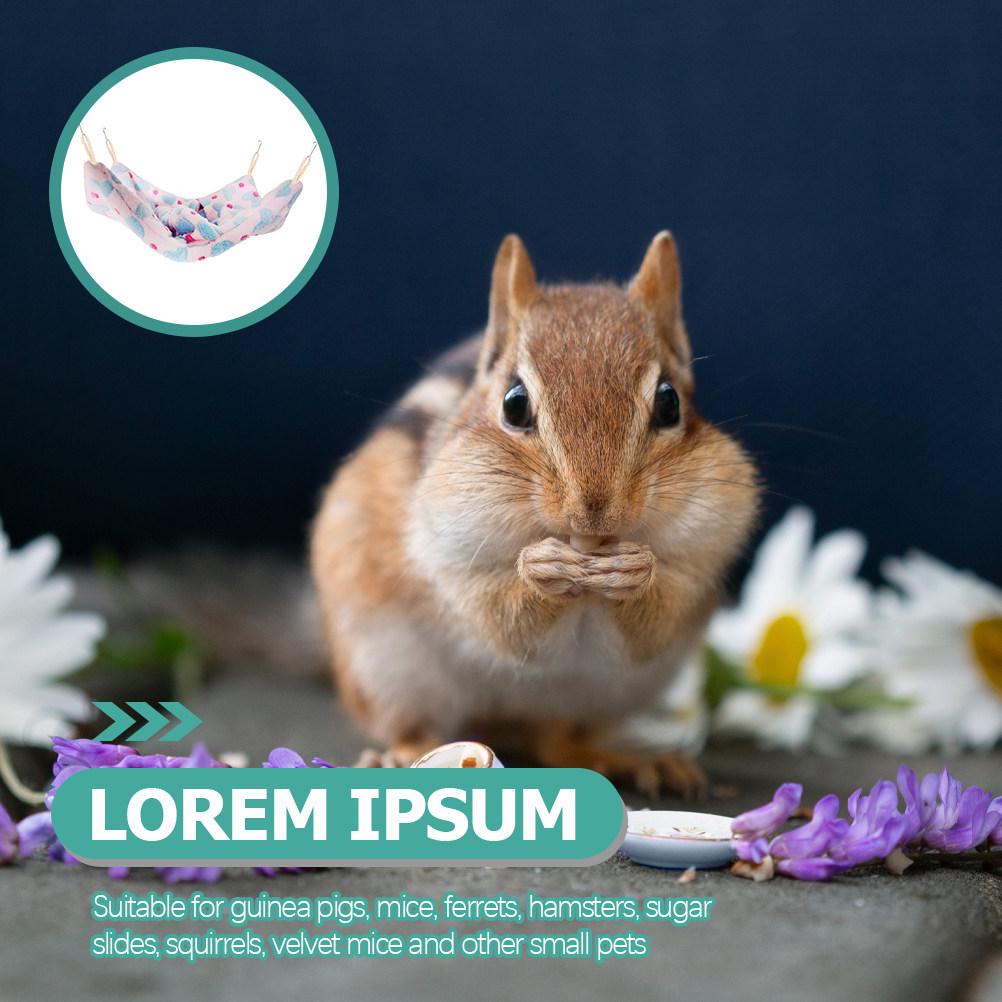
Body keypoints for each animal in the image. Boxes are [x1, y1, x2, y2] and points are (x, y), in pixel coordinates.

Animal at [311, 232, 760, 794]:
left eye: (669, 402)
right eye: (515, 403)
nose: (594, 514)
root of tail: (504, 724)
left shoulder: (706, 553)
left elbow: (658, 616)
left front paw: (635, 570)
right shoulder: (445, 555)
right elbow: (498, 616)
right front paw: (542, 568)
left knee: (558, 745)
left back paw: (636, 759)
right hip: (384, 670)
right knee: (418, 726)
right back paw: (405, 755)